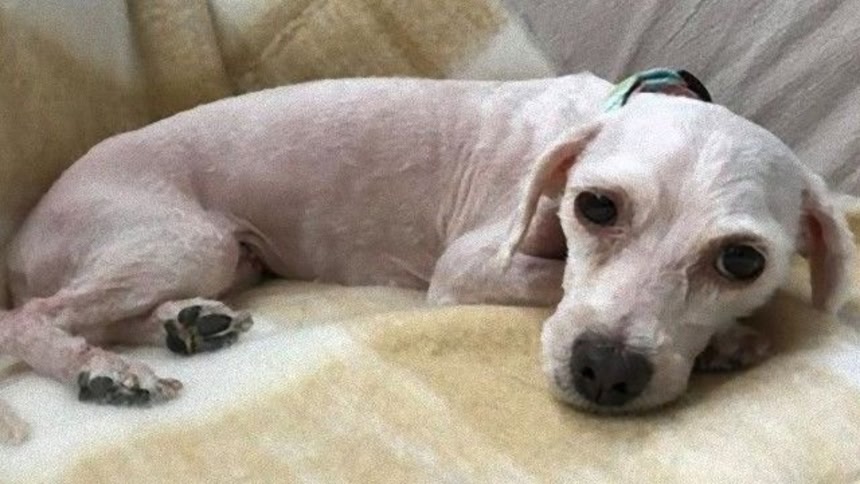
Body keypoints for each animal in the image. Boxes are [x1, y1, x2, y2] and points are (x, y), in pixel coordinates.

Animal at [0, 70, 854, 443]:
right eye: (596, 206)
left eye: (741, 262)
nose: (605, 373)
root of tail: (22, 238)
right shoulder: (471, 265)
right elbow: (551, 283)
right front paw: (729, 341)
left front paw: (727, 338)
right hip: (185, 238)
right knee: (34, 317)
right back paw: (104, 372)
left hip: (224, 257)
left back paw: (188, 324)